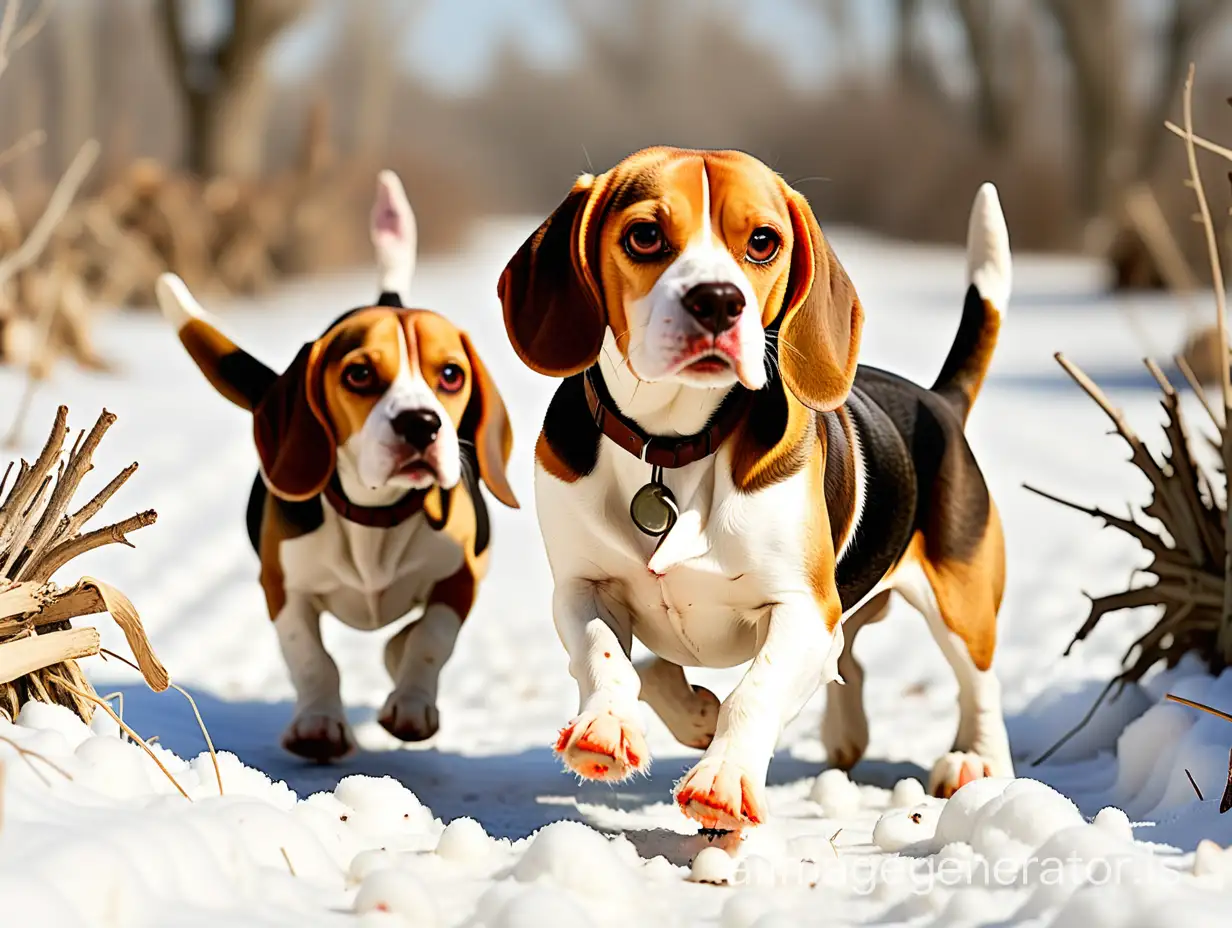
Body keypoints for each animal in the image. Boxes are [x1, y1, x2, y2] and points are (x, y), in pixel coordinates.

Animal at [157, 172, 514, 759]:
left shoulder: (462, 577)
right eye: (360, 374)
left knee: (404, 639)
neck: (375, 514)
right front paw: (318, 724)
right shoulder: (283, 587)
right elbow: (311, 658)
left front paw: (412, 706)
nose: (421, 425)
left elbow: (431, 639)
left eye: (451, 374)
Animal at [495, 148, 1015, 828]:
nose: (717, 301)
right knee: (848, 660)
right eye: (645, 235)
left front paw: (723, 777)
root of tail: (939, 400)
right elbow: (612, 658)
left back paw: (978, 763)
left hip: (961, 602)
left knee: (979, 684)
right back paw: (841, 733)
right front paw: (615, 726)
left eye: (763, 242)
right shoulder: (584, 588)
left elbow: (754, 690)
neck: (674, 443)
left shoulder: (802, 607)